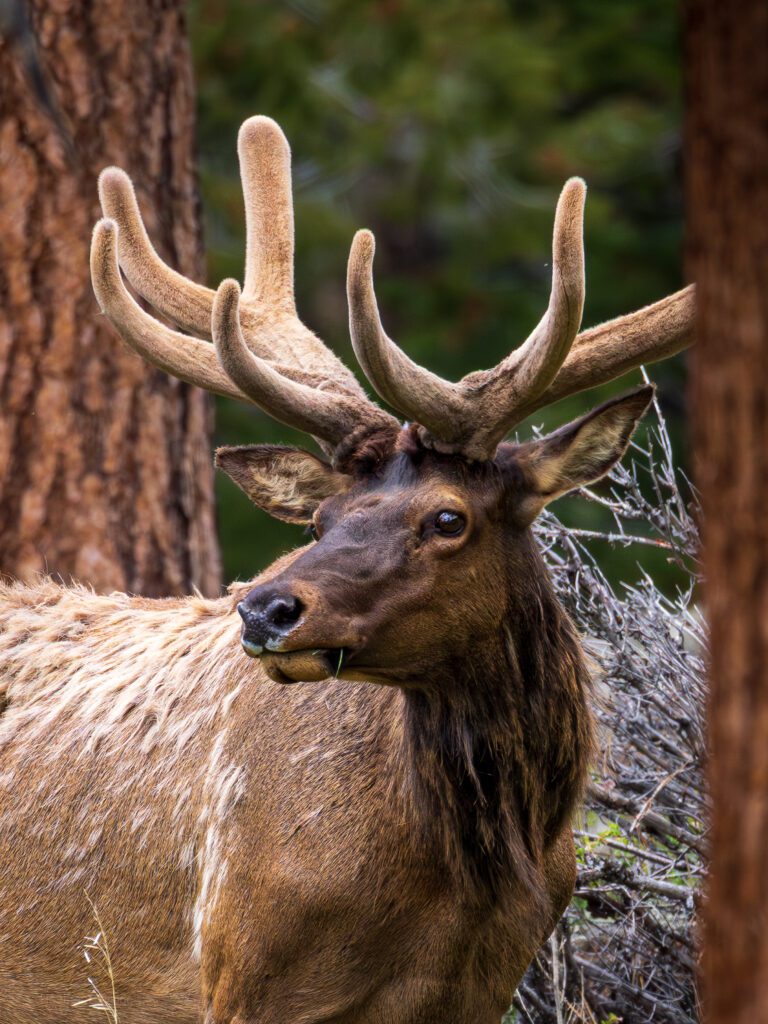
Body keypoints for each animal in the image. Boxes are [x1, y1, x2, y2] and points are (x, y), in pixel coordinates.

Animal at [0, 116, 694, 1024]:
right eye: (321, 520)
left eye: (448, 518)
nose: (264, 611)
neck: (468, 882)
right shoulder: (240, 972)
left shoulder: (484, 987)